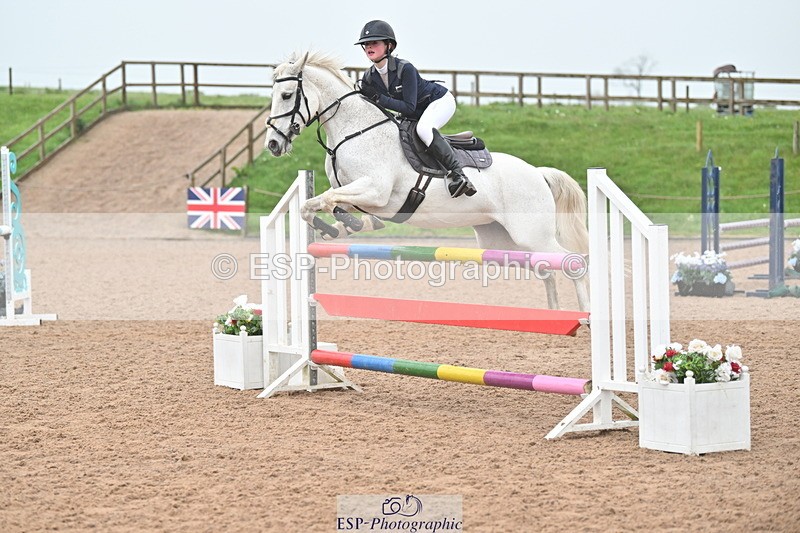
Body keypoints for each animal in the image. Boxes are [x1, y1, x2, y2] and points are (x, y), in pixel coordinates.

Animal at [264, 51, 589, 312]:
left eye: (286, 95)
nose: (273, 145)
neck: (354, 131)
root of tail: (538, 172)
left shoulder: (376, 191)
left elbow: (331, 200)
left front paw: (350, 223)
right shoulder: (355, 192)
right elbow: (311, 205)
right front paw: (339, 227)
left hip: (532, 234)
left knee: (574, 263)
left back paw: (584, 317)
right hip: (502, 240)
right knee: (545, 268)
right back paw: (555, 313)